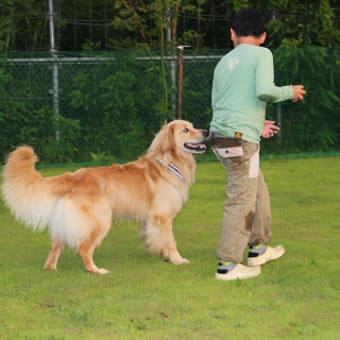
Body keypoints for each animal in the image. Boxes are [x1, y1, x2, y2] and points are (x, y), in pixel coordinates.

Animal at [1, 119, 207, 274]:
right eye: (186, 130)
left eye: (193, 126)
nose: (206, 132)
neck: (169, 163)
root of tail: (74, 176)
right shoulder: (162, 216)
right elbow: (170, 241)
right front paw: (177, 260)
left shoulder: (151, 219)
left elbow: (157, 238)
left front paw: (163, 254)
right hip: (100, 219)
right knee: (84, 249)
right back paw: (95, 270)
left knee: (56, 245)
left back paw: (51, 267)